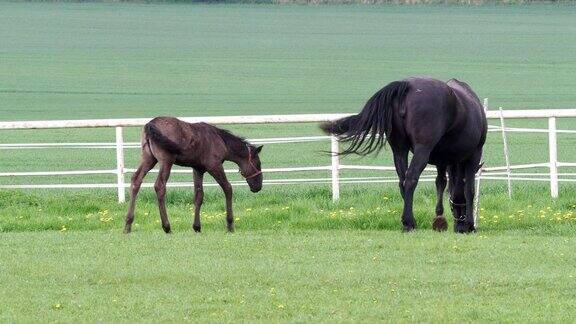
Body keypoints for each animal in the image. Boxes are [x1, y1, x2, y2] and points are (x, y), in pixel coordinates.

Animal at [322, 76, 488, 233]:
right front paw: (470, 224)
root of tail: (407, 85)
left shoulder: (443, 161)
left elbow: (441, 183)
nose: (459, 226)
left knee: (402, 181)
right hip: (422, 150)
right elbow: (469, 190)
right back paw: (409, 223)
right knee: (410, 179)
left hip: (399, 150)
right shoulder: (473, 156)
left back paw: (408, 220)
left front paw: (439, 217)